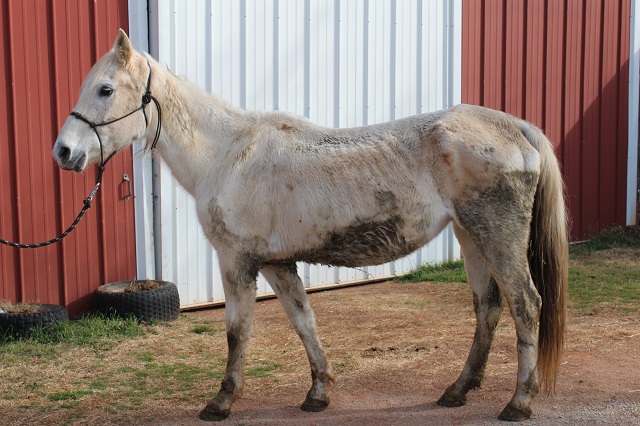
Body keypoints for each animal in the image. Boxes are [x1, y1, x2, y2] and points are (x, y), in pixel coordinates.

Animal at [52, 30, 568, 422]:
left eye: (104, 89)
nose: (64, 152)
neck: (226, 154)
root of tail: (517, 128)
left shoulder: (236, 261)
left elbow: (237, 331)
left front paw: (221, 401)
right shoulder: (277, 263)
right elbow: (304, 322)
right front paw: (318, 393)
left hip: (497, 236)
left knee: (526, 304)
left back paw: (518, 402)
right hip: (471, 237)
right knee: (488, 308)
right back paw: (458, 391)